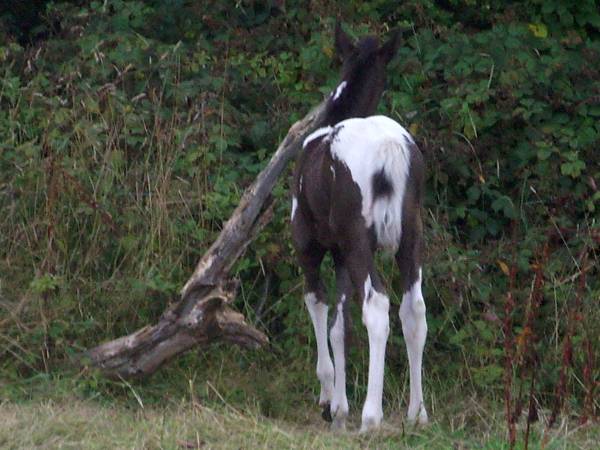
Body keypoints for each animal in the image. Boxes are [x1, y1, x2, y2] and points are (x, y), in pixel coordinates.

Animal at [290, 25, 426, 432]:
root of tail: (391, 153)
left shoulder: (309, 243)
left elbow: (319, 306)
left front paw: (328, 402)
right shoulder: (339, 253)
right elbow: (341, 324)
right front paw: (339, 408)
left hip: (357, 238)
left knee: (378, 306)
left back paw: (372, 416)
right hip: (411, 234)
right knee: (414, 308)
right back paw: (418, 413)